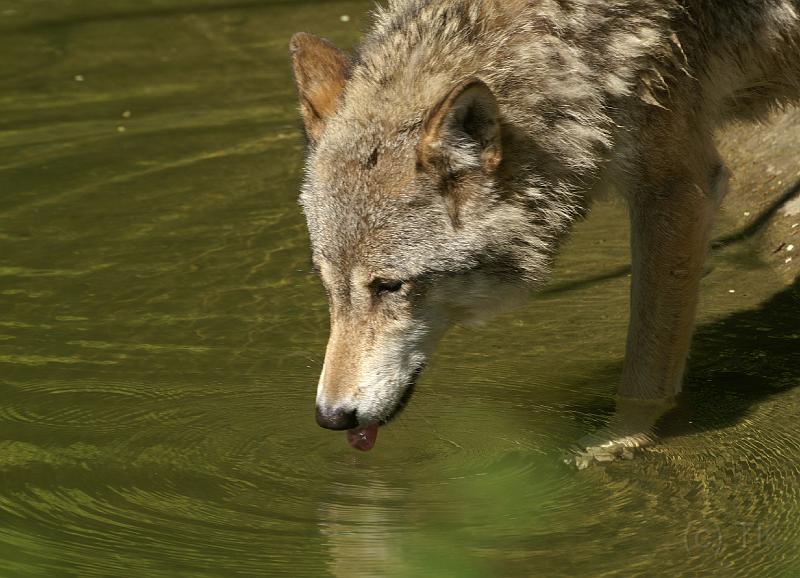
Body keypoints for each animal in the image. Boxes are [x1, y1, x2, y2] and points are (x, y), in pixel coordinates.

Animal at [290, 0, 800, 463]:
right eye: (328, 287)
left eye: (389, 286)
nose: (331, 416)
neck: (570, 43)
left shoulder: (676, 187)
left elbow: (646, 361)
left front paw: (616, 441)